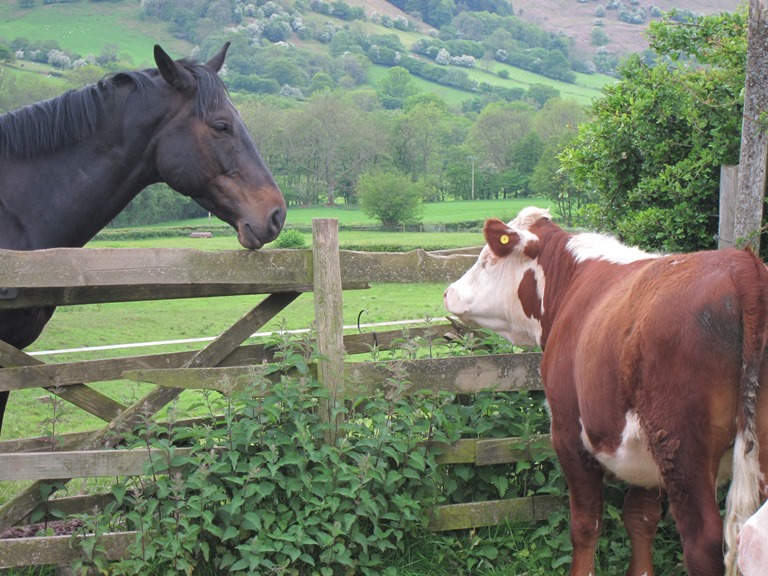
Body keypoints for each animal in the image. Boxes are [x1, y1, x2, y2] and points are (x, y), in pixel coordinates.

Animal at [444, 207, 768, 576]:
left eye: (487, 259)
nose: (448, 292)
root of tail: (742, 266)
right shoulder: (645, 455)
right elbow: (640, 517)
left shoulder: (568, 433)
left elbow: (585, 524)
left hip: (683, 449)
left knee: (704, 543)